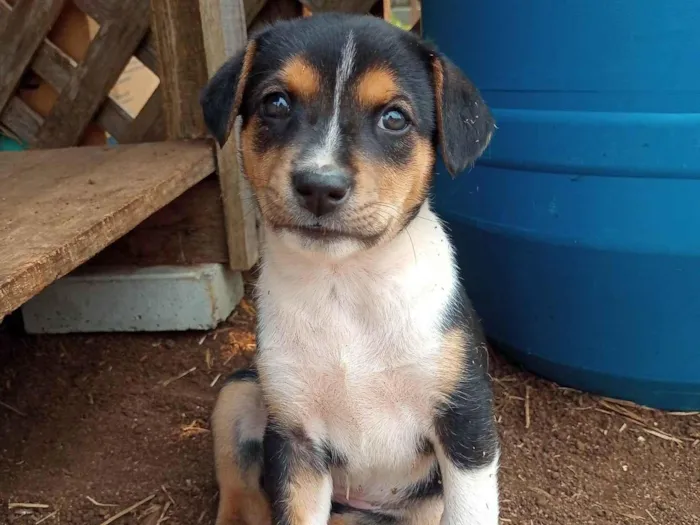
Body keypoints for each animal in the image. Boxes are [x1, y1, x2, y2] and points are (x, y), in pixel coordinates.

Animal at [201, 11, 498, 524]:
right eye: (276, 103)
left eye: (394, 118)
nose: (320, 187)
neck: (345, 285)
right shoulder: (297, 439)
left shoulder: (467, 424)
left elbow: (470, 513)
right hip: (240, 389)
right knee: (239, 479)